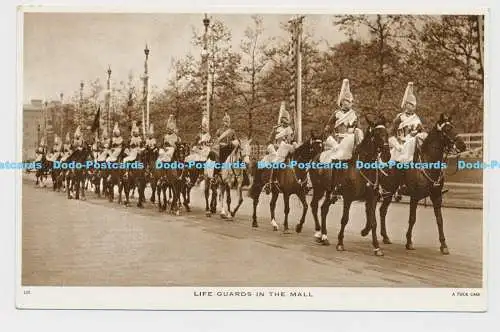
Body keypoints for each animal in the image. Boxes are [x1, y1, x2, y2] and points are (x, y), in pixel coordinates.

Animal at [306, 115, 392, 256]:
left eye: (387, 133)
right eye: (376, 134)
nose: (387, 155)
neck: (363, 167)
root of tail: (316, 157)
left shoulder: (372, 198)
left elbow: (373, 222)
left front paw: (376, 247)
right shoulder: (348, 197)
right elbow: (344, 219)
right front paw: (340, 243)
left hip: (329, 192)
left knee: (324, 209)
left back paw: (324, 236)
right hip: (319, 189)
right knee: (314, 206)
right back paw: (319, 233)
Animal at [378, 113, 468, 255]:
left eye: (453, 126)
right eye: (447, 129)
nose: (462, 145)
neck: (428, 162)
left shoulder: (437, 197)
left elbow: (439, 220)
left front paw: (443, 245)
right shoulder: (414, 197)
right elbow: (412, 218)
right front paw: (409, 242)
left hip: (389, 192)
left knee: (382, 211)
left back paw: (386, 237)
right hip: (388, 191)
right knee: (382, 210)